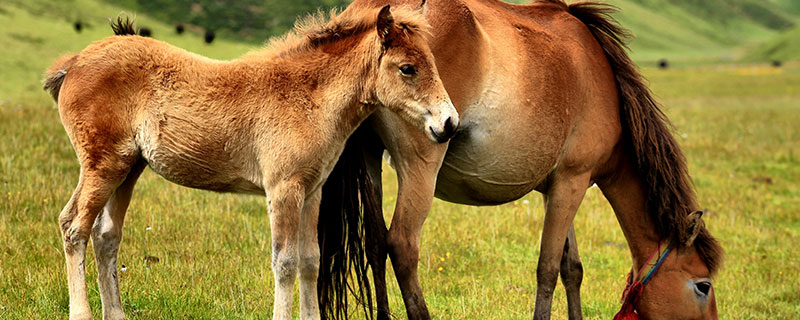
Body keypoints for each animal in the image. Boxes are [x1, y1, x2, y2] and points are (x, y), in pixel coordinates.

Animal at [45, 5, 456, 320]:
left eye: (434, 63)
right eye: (407, 68)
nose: (449, 124)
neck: (307, 98)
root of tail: (74, 62)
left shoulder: (312, 192)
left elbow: (310, 261)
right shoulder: (283, 189)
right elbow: (285, 263)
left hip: (129, 168)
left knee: (106, 236)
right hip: (103, 164)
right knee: (74, 226)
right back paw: (81, 312)